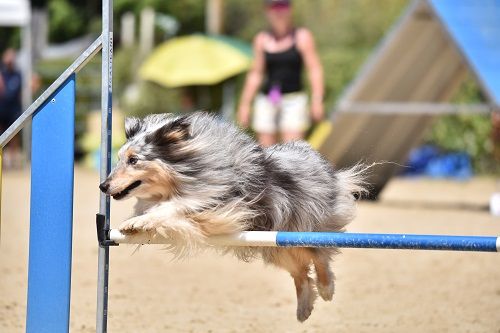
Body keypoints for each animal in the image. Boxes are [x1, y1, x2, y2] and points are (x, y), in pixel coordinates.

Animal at [100, 112, 368, 322]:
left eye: (134, 160)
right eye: (119, 158)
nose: (103, 186)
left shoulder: (219, 201)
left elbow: (172, 207)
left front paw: (137, 221)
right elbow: (157, 210)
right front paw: (138, 222)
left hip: (302, 228)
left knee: (320, 255)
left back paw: (326, 289)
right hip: (276, 245)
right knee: (300, 272)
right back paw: (304, 308)